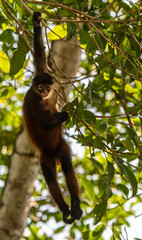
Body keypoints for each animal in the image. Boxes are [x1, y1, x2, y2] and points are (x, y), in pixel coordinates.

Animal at [22, 12, 82, 224]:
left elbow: (40, 58)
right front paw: (68, 112)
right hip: (45, 157)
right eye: (41, 87)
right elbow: (45, 123)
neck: (39, 95)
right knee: (50, 177)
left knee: (67, 166)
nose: (46, 91)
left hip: (60, 147)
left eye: (48, 86)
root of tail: (52, 153)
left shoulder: (43, 73)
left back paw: (75, 204)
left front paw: (36, 23)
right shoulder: (33, 99)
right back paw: (65, 208)